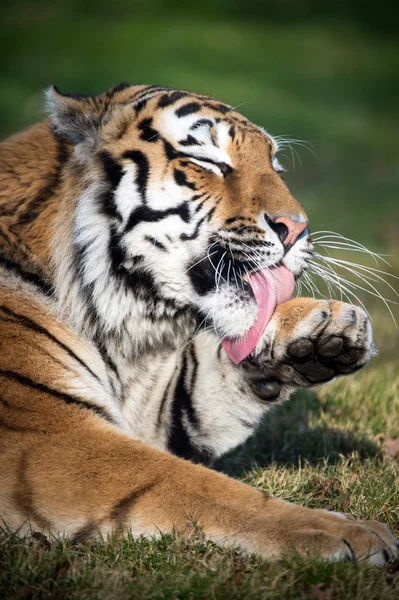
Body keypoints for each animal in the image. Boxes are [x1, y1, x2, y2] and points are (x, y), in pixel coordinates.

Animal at [0, 82, 398, 564]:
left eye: (275, 166)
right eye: (209, 162)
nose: (297, 228)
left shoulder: (153, 411)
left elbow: (211, 373)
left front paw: (329, 329)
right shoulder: (51, 437)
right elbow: (202, 487)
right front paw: (350, 533)